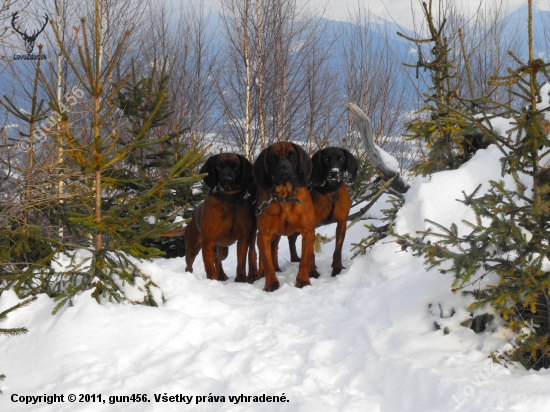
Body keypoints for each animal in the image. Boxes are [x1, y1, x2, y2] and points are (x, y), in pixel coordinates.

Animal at [183, 153, 256, 282]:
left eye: (236, 166)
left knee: (218, 258)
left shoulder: (243, 237)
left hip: (222, 247)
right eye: (218, 165)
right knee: (189, 264)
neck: (229, 200)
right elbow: (209, 265)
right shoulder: (208, 240)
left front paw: (241, 279)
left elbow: (241, 262)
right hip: (193, 247)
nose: (227, 179)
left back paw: (221, 274)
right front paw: (212, 281)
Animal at [252, 143, 316, 292]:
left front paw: (303, 281)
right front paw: (271, 284)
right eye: (272, 158)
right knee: (266, 255)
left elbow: (304, 261)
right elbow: (267, 262)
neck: (285, 198)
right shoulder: (263, 235)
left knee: (275, 250)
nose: (284, 173)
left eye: (292, 155)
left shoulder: (308, 233)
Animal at [286, 146, 360, 276]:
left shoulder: (342, 222)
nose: (334, 172)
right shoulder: (311, 226)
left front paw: (337, 268)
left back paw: (294, 258)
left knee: (292, 238)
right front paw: (311, 271)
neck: (330, 190)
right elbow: (311, 252)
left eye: (341, 159)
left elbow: (338, 249)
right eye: (326, 159)